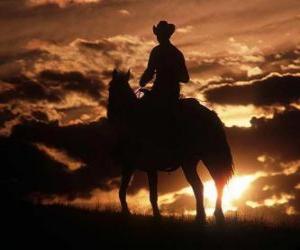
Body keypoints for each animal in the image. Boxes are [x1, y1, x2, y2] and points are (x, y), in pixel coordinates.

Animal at [108, 69, 234, 224]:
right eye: (110, 88)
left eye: (115, 90)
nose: (110, 114)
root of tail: (211, 116)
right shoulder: (128, 166)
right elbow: (122, 191)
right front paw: (127, 214)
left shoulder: (151, 167)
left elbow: (152, 195)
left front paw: (157, 216)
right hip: (192, 162)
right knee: (201, 186)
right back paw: (203, 217)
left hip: (208, 158)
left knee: (215, 182)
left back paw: (216, 215)